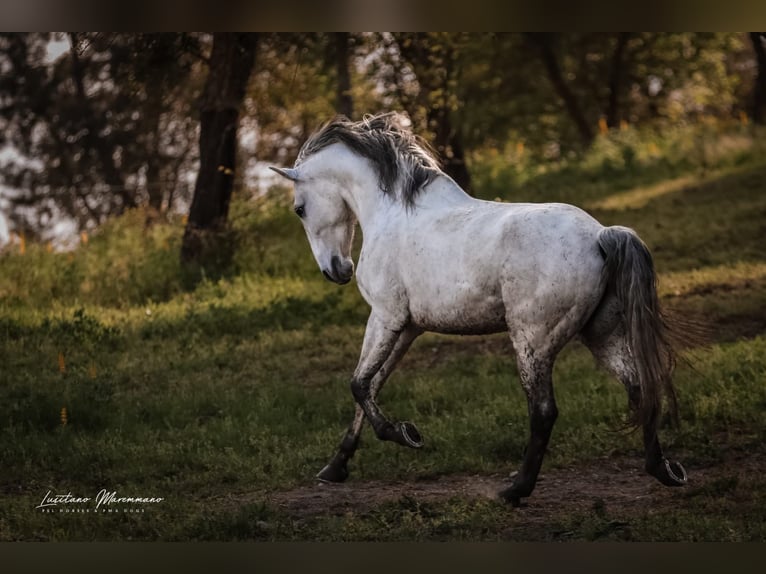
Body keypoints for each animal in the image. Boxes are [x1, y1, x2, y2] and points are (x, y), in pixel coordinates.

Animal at [272, 113, 688, 508]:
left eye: (299, 209)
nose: (336, 271)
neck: (394, 213)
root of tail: (600, 235)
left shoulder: (386, 317)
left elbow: (358, 384)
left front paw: (404, 435)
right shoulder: (407, 327)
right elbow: (371, 386)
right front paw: (335, 467)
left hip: (533, 343)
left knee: (543, 411)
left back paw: (515, 490)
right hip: (602, 335)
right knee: (639, 388)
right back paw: (665, 471)